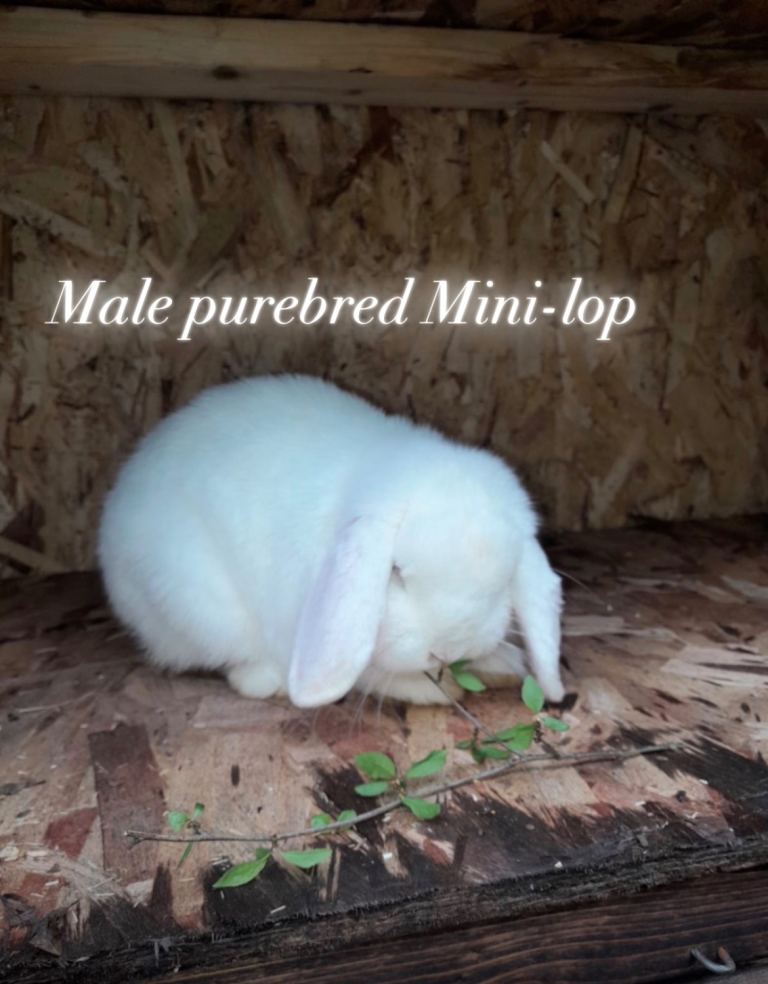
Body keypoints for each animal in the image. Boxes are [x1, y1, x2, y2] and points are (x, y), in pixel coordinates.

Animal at [98, 375, 565, 708]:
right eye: (396, 572)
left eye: (502, 583)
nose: (447, 651)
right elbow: (370, 674)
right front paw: (437, 687)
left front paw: (501, 663)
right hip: (197, 605)